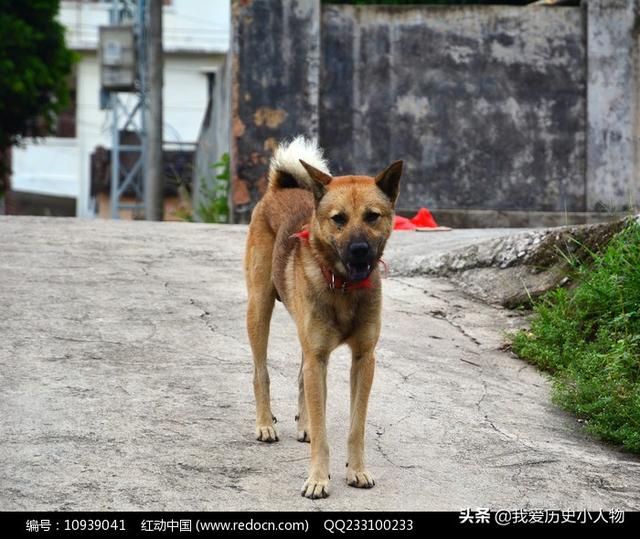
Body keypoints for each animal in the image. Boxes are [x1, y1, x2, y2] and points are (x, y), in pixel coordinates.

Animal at [242, 137, 402, 500]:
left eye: (372, 217)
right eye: (338, 219)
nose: (359, 250)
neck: (343, 286)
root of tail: (282, 187)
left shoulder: (363, 360)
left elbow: (356, 427)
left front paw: (356, 470)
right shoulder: (318, 356)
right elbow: (322, 425)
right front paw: (317, 478)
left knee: (302, 379)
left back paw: (302, 426)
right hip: (259, 310)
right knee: (261, 372)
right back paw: (265, 424)